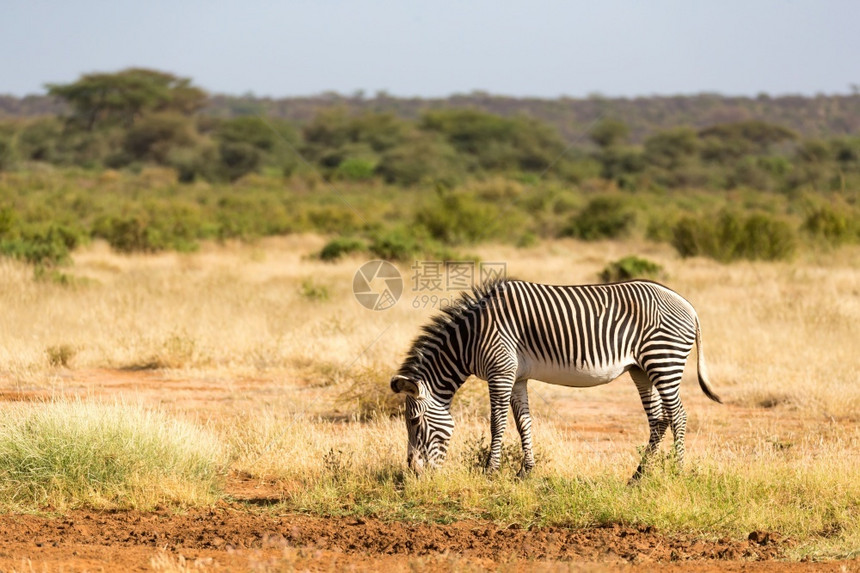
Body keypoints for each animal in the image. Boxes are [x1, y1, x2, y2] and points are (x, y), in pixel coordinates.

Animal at [390, 278, 720, 478]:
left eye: (414, 421)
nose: (413, 472)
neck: (471, 338)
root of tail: (686, 303)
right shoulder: (516, 377)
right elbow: (523, 423)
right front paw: (525, 471)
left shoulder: (500, 371)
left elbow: (497, 423)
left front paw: (490, 471)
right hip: (641, 369)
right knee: (658, 419)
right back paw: (637, 477)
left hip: (663, 360)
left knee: (678, 415)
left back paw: (677, 472)